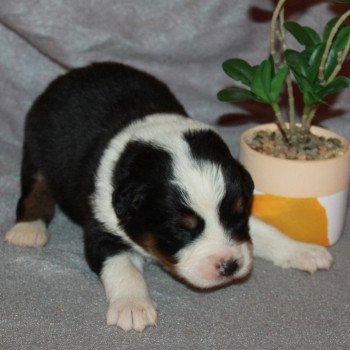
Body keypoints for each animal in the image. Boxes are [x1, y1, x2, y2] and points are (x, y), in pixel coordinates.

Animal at [5, 61, 334, 332]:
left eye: (238, 215)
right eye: (181, 229)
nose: (229, 266)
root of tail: (69, 76)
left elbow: (266, 232)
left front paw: (302, 250)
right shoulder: (101, 229)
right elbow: (121, 267)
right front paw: (133, 307)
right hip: (35, 146)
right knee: (35, 189)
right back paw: (27, 230)